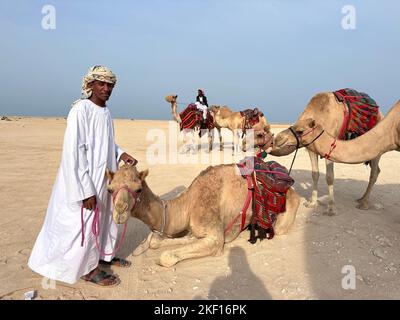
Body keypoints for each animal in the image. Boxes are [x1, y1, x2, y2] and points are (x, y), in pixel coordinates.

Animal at [106, 164, 300, 266]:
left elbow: (167, 256)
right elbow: (154, 241)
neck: (188, 203)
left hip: (286, 215)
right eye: (109, 189)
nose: (120, 211)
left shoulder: (214, 235)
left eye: (138, 189)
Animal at [260, 94, 398, 216]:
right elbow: (315, 174)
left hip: (377, 144)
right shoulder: (312, 147)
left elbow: (330, 177)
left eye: (300, 131)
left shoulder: (330, 144)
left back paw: (364, 203)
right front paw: (312, 202)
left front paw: (331, 209)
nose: (278, 138)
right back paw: (361, 198)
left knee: (374, 172)